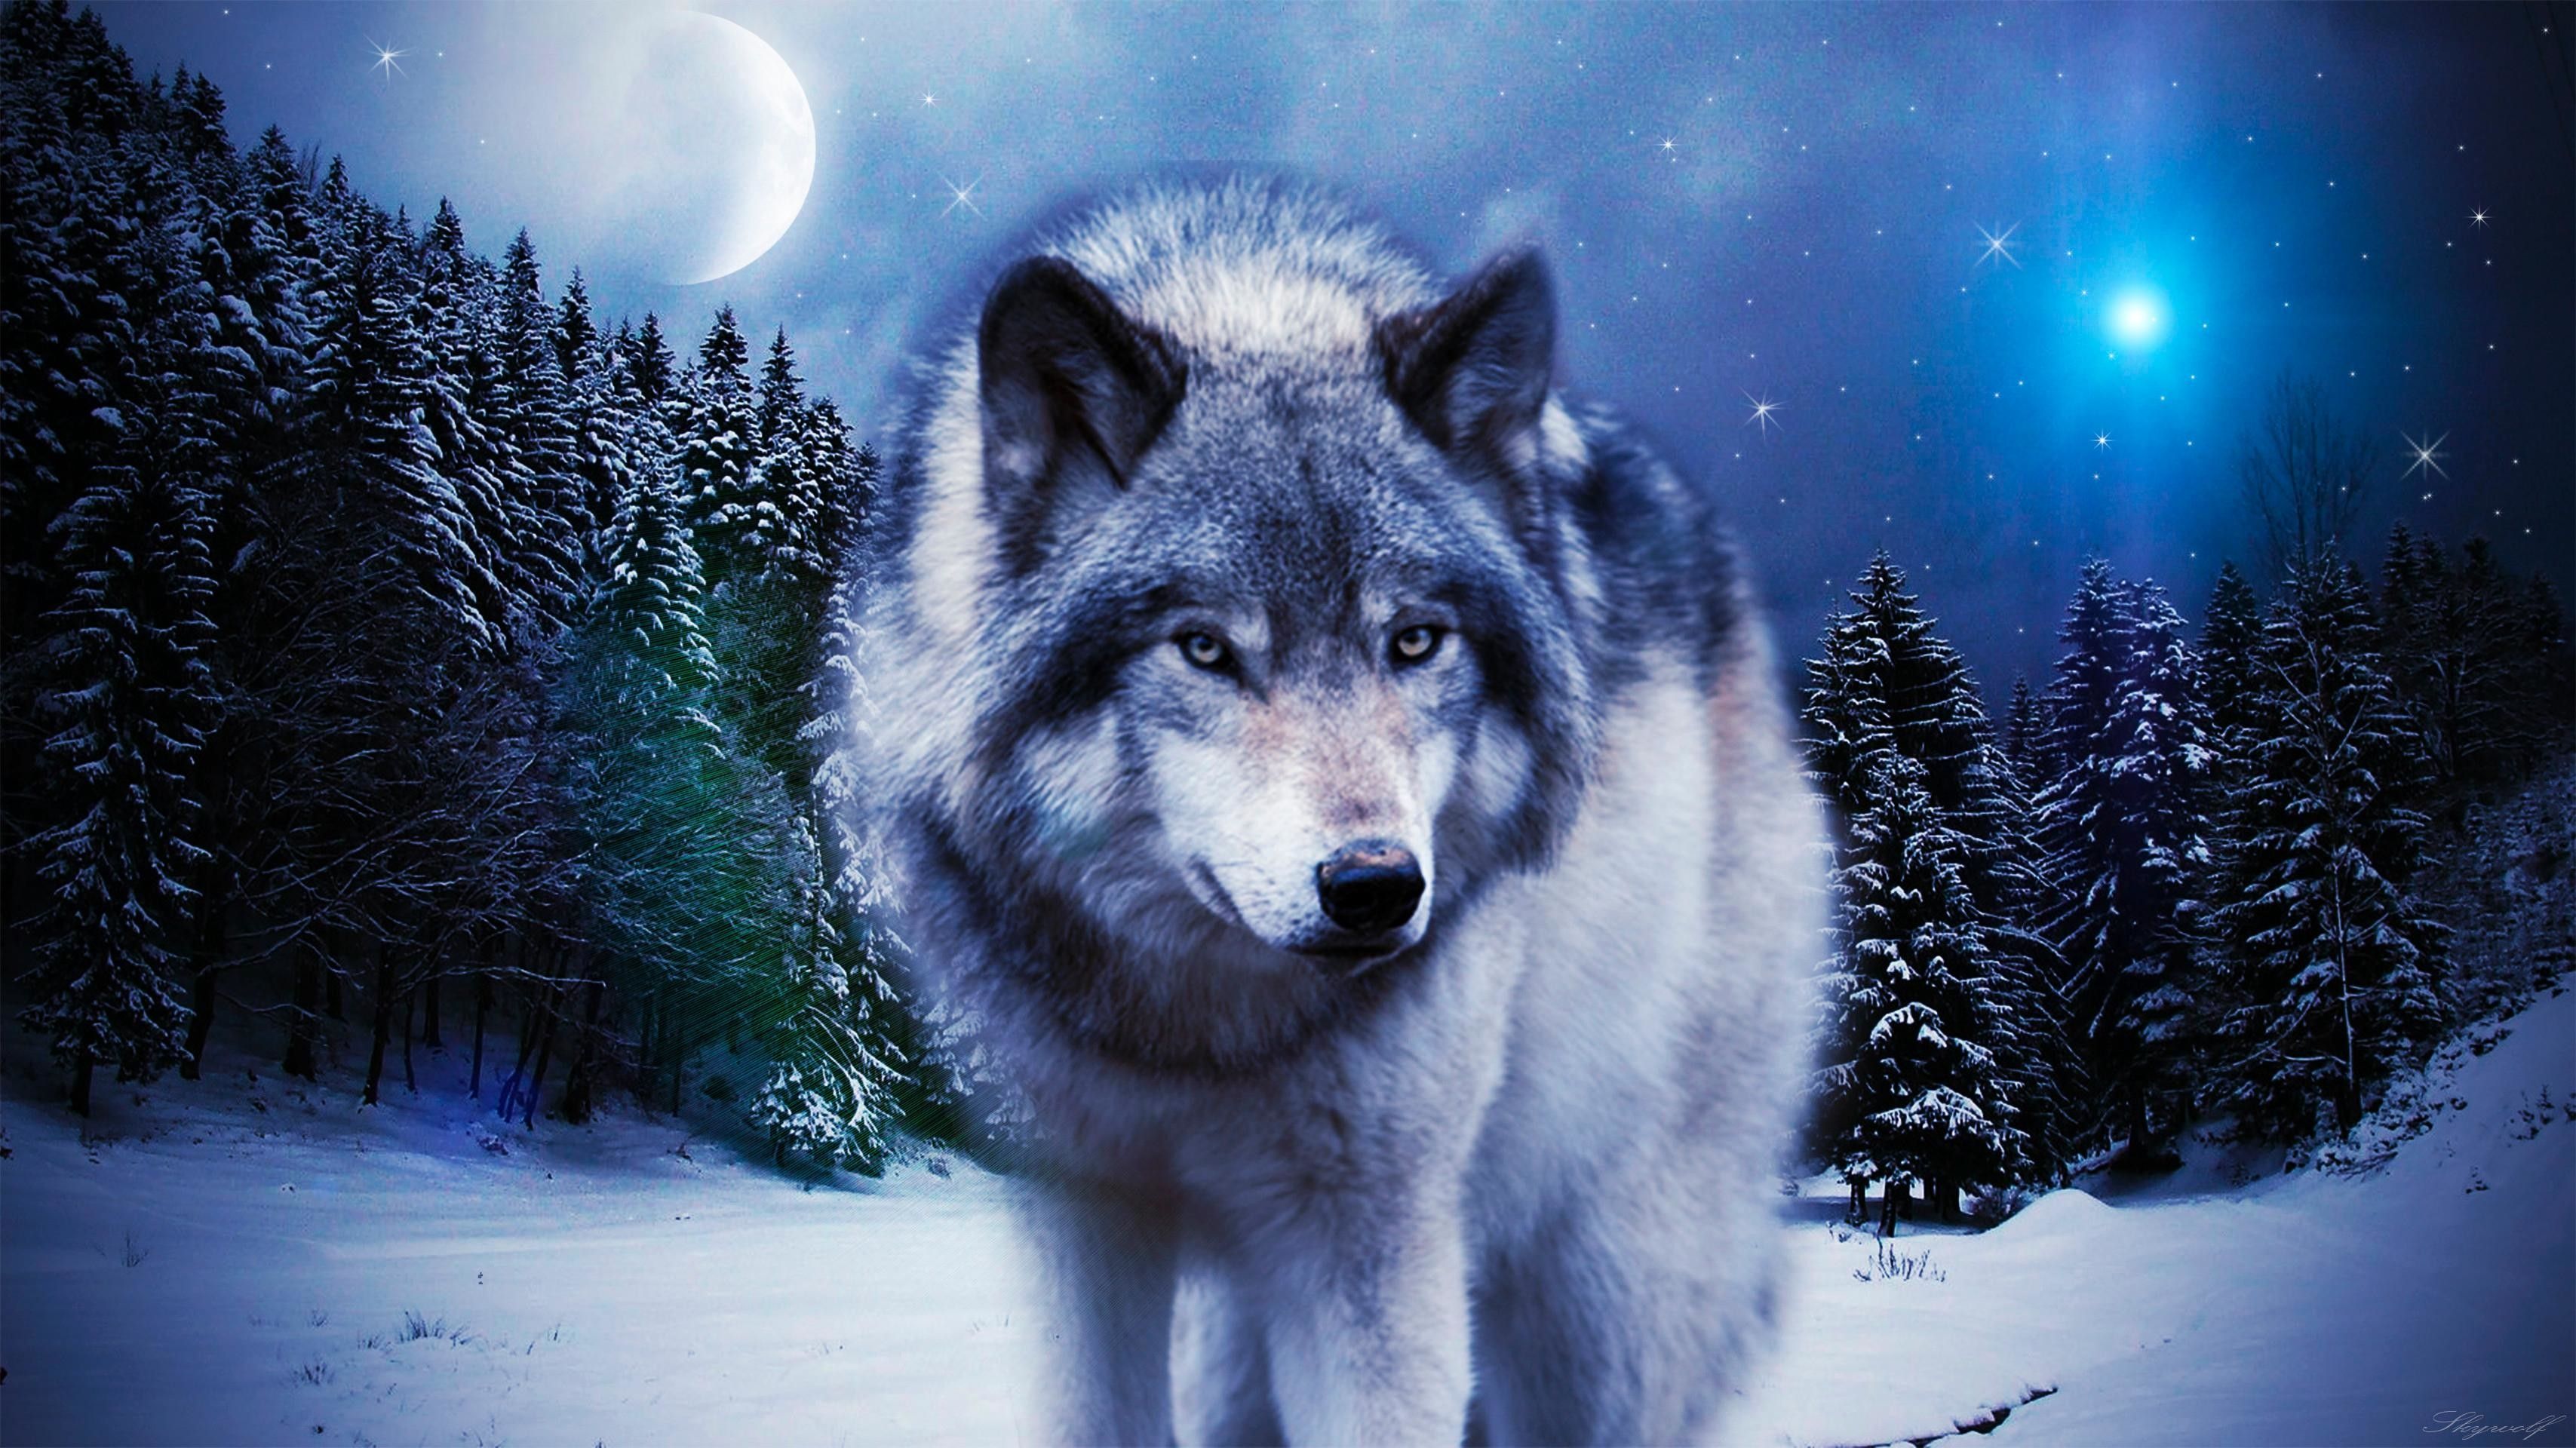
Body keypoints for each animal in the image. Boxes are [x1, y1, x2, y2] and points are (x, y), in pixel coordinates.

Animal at [847, 178, 1824, 1446]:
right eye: (1204, 649)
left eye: (1412, 641)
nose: (1375, 887)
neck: (1189, 1035)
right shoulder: (1075, 1209)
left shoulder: (1369, 1242)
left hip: (1594, 1290)